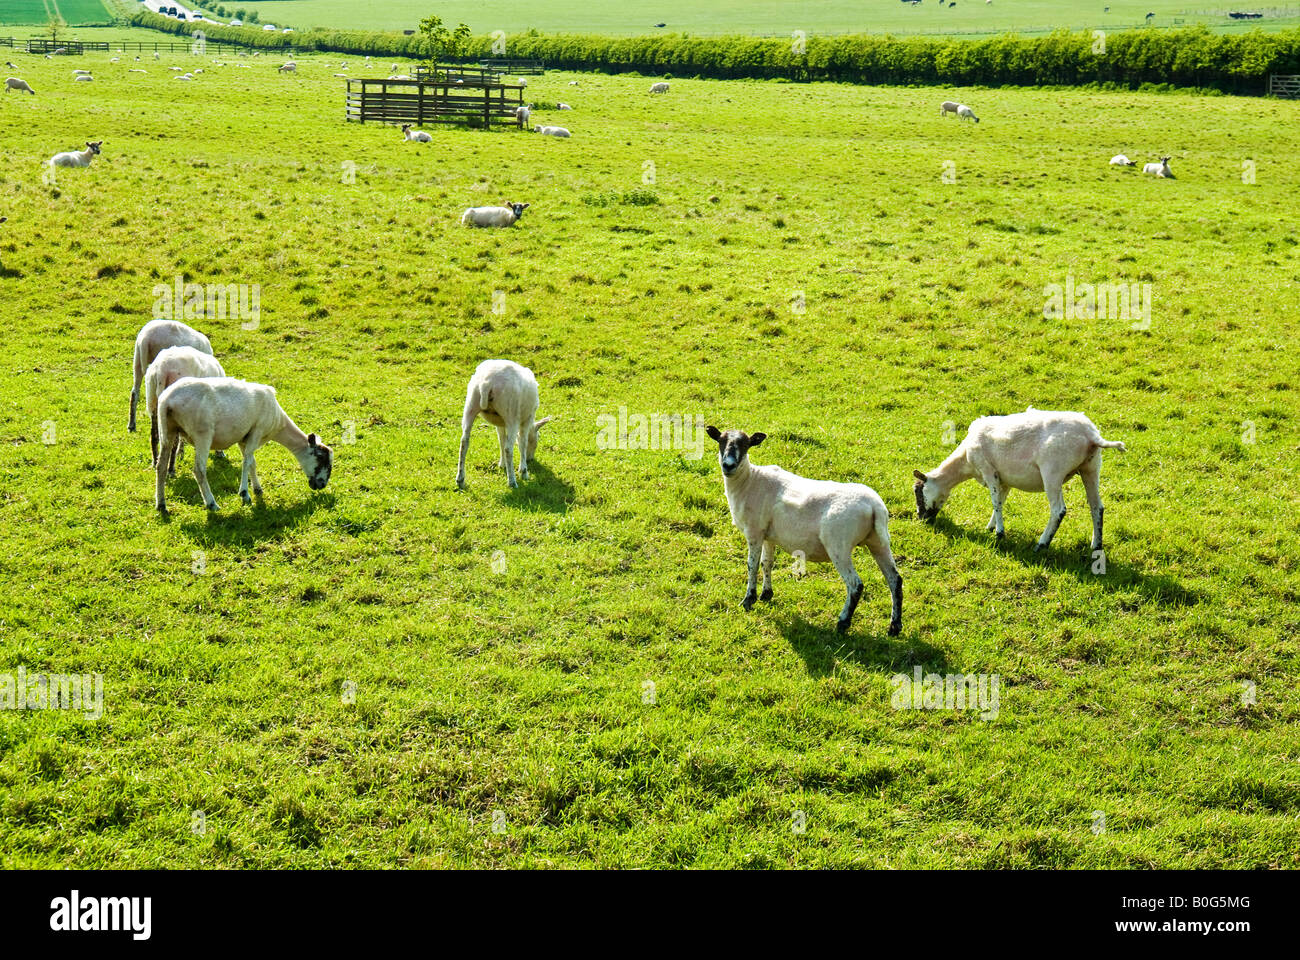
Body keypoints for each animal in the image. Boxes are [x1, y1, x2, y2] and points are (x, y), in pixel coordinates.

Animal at [146, 348, 228, 476]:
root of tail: (161, 370)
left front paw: (181, 453)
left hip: (152, 400)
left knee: (154, 435)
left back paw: (155, 462)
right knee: (172, 441)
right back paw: (171, 469)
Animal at [156, 374, 335, 512]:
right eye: (321, 458)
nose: (322, 484)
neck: (278, 424)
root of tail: (168, 401)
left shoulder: (244, 439)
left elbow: (252, 463)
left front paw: (257, 489)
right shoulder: (257, 430)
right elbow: (247, 462)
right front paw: (244, 494)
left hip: (167, 430)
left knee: (160, 467)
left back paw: (161, 505)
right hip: (202, 434)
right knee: (199, 470)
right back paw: (212, 503)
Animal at [454, 361, 551, 489]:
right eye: (538, 437)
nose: (531, 459)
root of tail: (487, 383)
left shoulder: (500, 423)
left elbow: (501, 440)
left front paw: (502, 465)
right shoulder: (526, 420)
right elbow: (522, 443)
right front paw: (523, 471)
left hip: (471, 404)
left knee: (464, 442)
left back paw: (460, 480)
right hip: (511, 413)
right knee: (508, 449)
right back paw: (512, 482)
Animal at [702, 426, 904, 634]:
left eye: (745, 445)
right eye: (721, 441)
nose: (728, 465)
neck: (749, 481)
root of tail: (874, 506)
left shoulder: (754, 531)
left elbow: (752, 565)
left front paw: (748, 600)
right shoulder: (768, 535)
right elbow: (767, 563)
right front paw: (766, 594)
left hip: (839, 545)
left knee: (855, 585)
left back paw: (843, 622)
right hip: (878, 542)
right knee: (895, 580)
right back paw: (894, 626)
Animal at [909, 405, 1123, 554]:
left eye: (918, 491)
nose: (921, 518)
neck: (965, 462)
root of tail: (1091, 435)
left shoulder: (989, 471)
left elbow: (995, 502)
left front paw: (999, 534)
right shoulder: (1004, 480)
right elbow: (1001, 502)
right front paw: (991, 527)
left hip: (1053, 472)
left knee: (1058, 510)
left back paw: (1042, 544)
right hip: (1091, 467)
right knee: (1097, 507)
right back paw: (1096, 545)